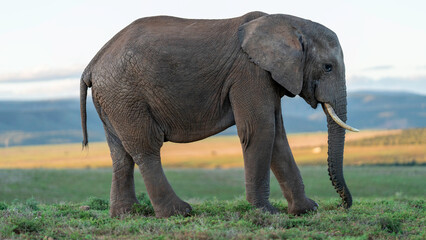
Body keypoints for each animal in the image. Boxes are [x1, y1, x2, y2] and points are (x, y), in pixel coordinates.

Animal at [80, 11, 360, 218]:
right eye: (328, 67)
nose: (342, 206)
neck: (289, 23)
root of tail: (92, 63)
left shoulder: (267, 77)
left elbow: (278, 136)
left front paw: (306, 210)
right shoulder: (250, 73)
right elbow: (261, 130)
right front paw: (266, 212)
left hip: (113, 99)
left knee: (120, 153)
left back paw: (127, 214)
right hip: (125, 94)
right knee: (146, 147)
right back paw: (179, 212)